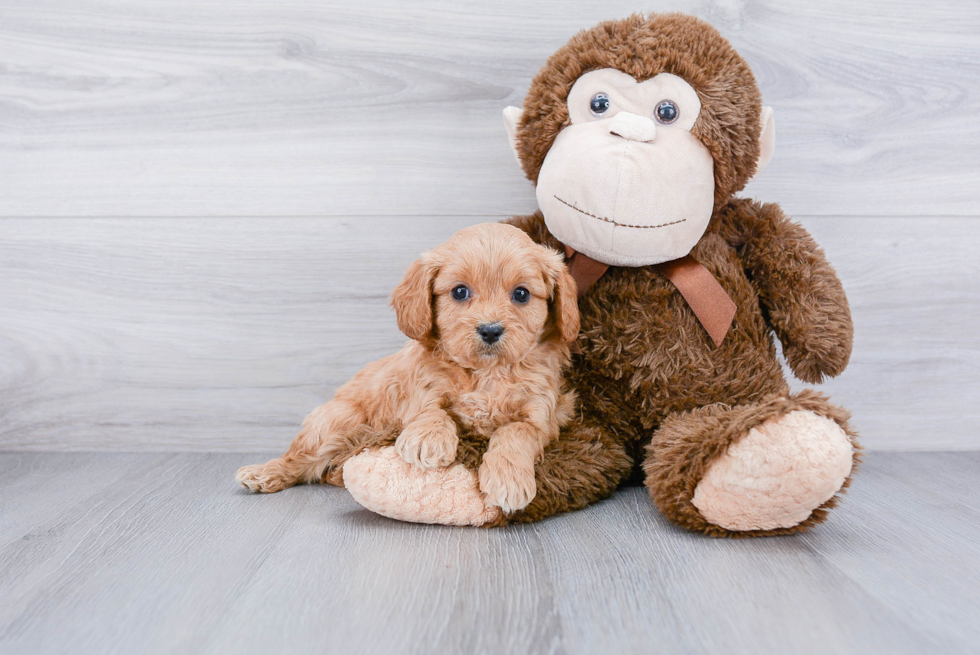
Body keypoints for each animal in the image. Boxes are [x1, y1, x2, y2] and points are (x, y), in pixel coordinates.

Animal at [234, 223, 580, 516]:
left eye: (521, 294)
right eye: (460, 292)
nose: (491, 330)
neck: (487, 374)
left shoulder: (543, 415)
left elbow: (515, 431)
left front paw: (507, 480)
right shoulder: (419, 388)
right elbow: (431, 410)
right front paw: (429, 439)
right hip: (337, 420)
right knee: (301, 459)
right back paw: (264, 472)